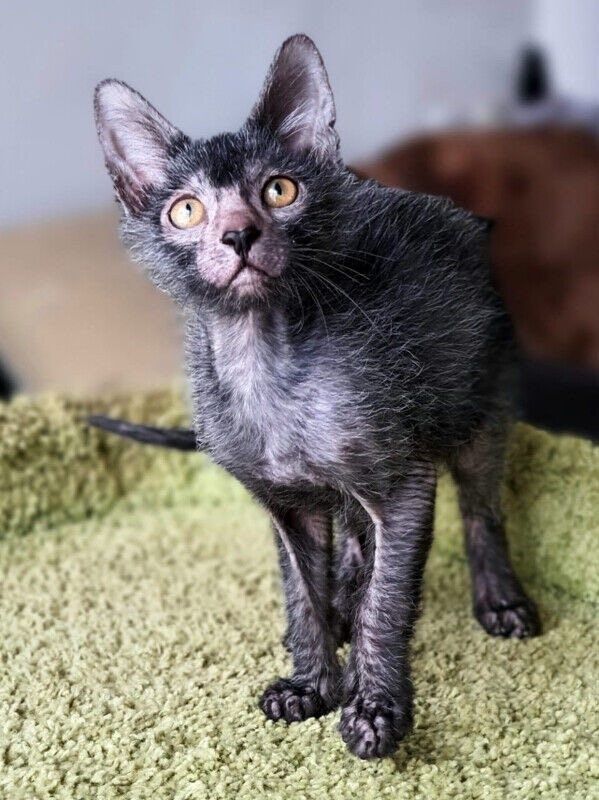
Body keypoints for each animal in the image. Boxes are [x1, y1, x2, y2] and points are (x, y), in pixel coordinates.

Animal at [91, 34, 540, 760]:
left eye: (279, 190)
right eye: (185, 209)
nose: (238, 235)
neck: (262, 365)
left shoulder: (404, 482)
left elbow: (389, 600)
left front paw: (374, 708)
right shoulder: (286, 506)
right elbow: (300, 591)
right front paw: (311, 682)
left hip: (482, 402)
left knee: (480, 510)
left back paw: (496, 600)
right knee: (352, 537)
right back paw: (343, 602)